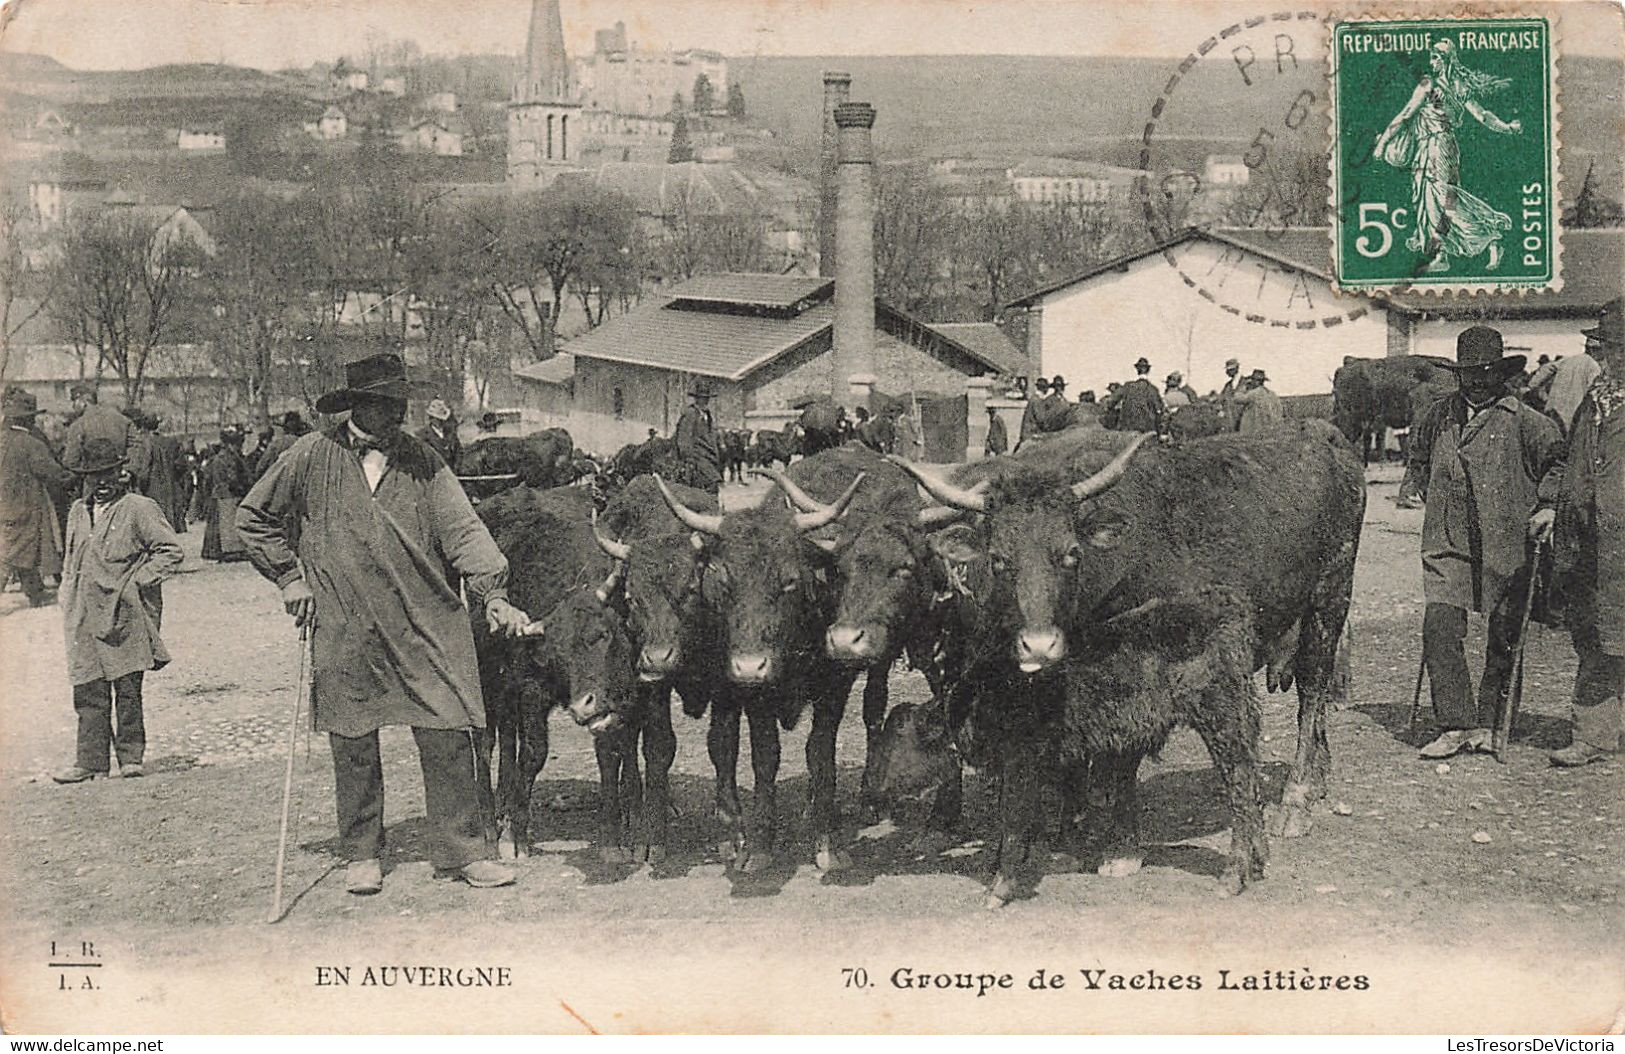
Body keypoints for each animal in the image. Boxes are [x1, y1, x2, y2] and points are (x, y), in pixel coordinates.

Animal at [656, 474, 871, 870]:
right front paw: (760, 846)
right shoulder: (754, 696)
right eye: (725, 581)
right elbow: (764, 757)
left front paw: (826, 842)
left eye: (789, 580)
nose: (749, 665)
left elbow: (821, 755)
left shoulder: (835, 687)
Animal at [897, 422, 1365, 902]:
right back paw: (1318, 783)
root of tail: (1324, 438)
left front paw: (1120, 848)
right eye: (998, 558)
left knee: (1313, 695)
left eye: (1071, 552)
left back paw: (1296, 802)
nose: (1039, 646)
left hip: (1329, 601)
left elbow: (1125, 754)